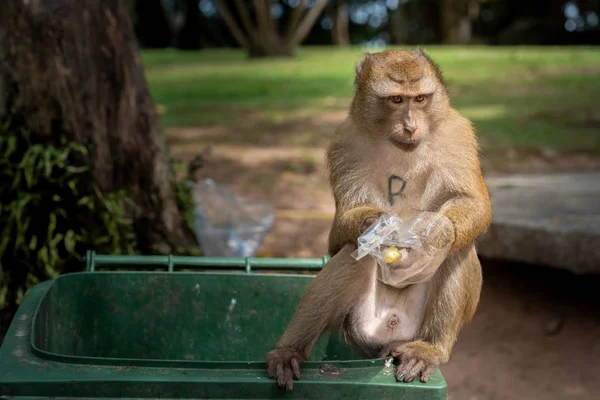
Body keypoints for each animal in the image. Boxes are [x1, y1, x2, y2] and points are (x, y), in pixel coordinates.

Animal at [268, 49, 492, 390]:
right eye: (397, 99)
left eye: (420, 98)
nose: (411, 126)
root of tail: (394, 331)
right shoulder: (345, 144)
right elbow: (340, 234)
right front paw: (377, 226)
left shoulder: (458, 136)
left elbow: (473, 204)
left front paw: (436, 233)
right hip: (358, 326)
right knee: (353, 254)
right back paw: (289, 351)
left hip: (417, 324)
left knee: (458, 250)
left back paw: (429, 349)